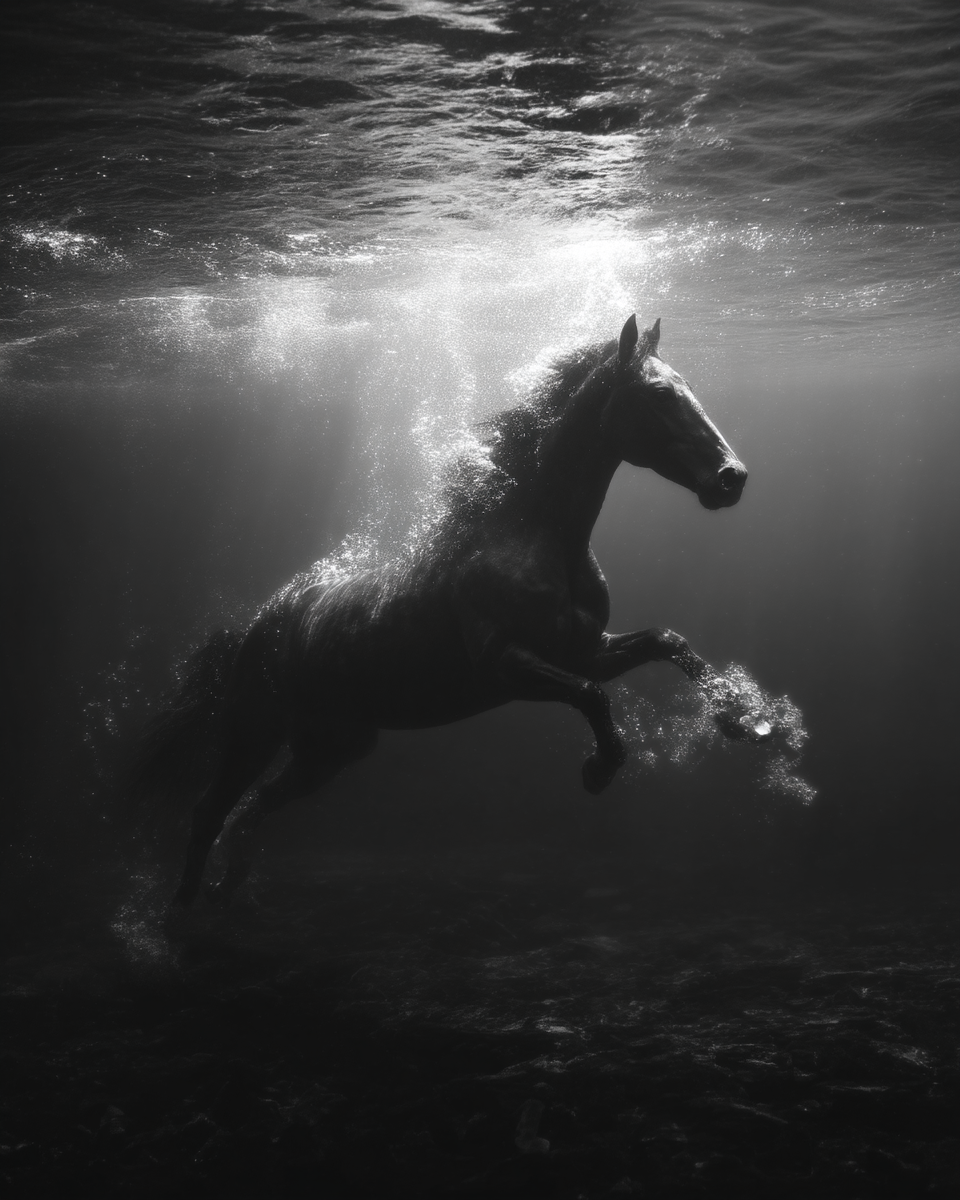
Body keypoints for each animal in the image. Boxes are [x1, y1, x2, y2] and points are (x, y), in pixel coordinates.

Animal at [138, 314, 754, 906]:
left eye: (688, 386)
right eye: (659, 394)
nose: (732, 478)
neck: (531, 536)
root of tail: (258, 623)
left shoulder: (585, 650)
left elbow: (667, 642)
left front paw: (742, 718)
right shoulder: (505, 664)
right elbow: (592, 696)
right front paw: (599, 770)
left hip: (332, 747)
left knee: (257, 803)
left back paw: (226, 886)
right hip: (254, 728)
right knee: (211, 808)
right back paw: (181, 911)